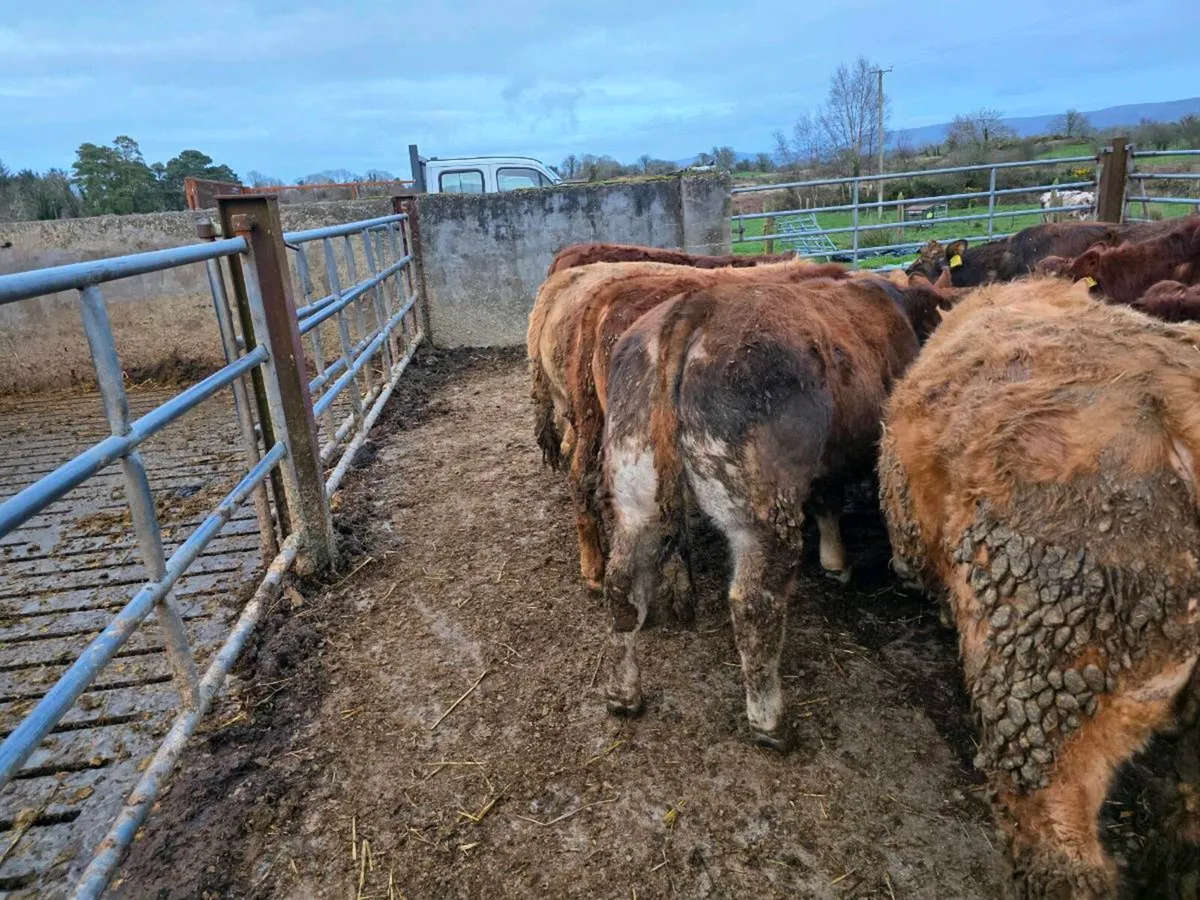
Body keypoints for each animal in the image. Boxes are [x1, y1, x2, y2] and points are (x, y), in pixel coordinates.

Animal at [601, 273, 945, 748]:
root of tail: (697, 306)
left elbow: (827, 500)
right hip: (761, 515)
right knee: (753, 603)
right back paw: (770, 722)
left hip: (636, 496)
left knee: (623, 586)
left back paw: (623, 693)